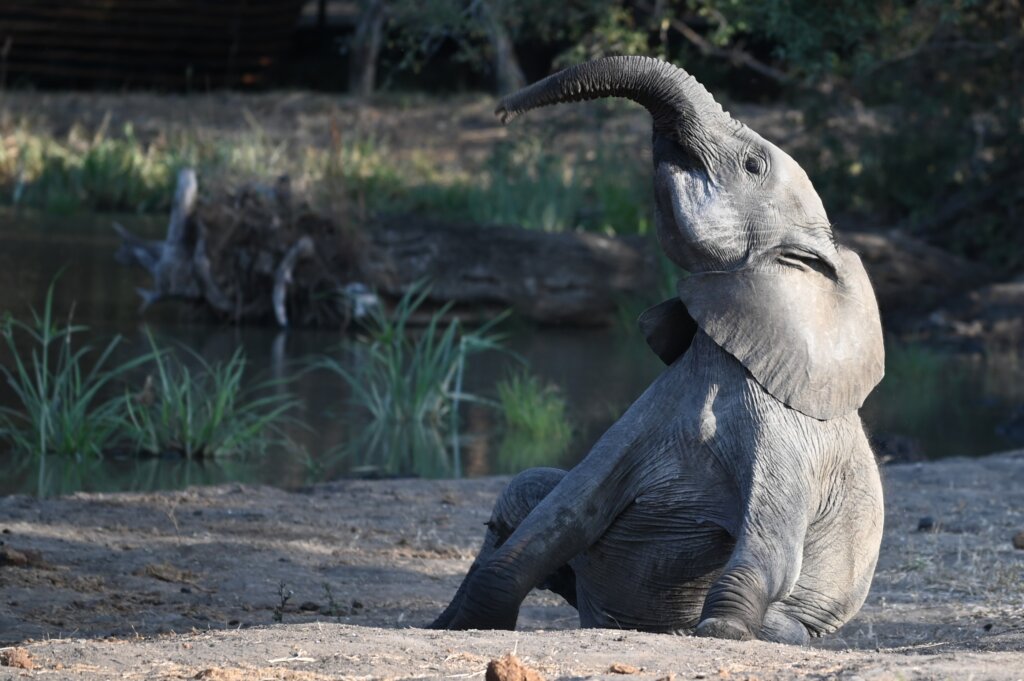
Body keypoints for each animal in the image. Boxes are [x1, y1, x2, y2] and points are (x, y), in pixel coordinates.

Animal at [428, 57, 884, 643]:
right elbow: (557, 519)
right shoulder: (650, 413)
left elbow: (771, 552)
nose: (501, 111)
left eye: (752, 164)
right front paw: (465, 625)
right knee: (524, 492)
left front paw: (720, 631)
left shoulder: (789, 436)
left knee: (784, 620)